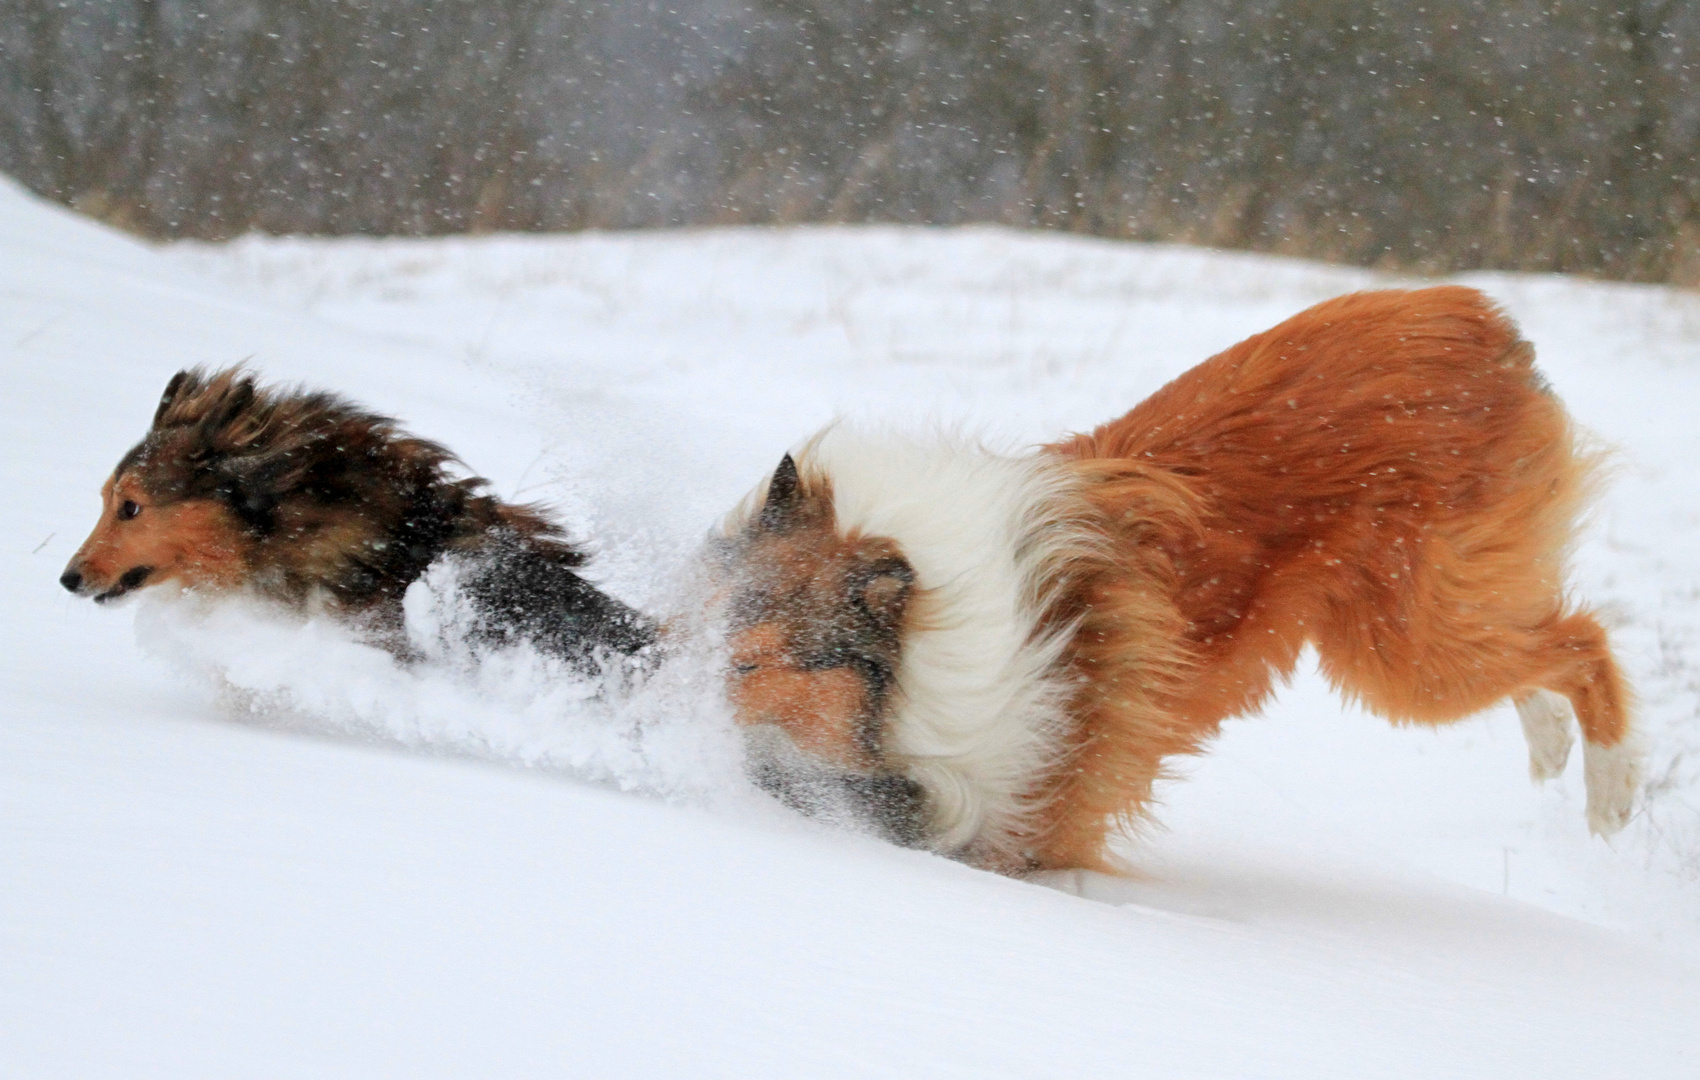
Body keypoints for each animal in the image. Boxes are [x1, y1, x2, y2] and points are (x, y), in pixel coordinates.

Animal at [710, 289, 1638, 877]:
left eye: (751, 664)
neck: (924, 645)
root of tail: (1472, 316)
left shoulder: (1016, 821)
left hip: (1398, 649)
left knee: (1582, 642)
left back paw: (1611, 792)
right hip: (1430, 613)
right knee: (1533, 636)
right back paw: (1551, 742)